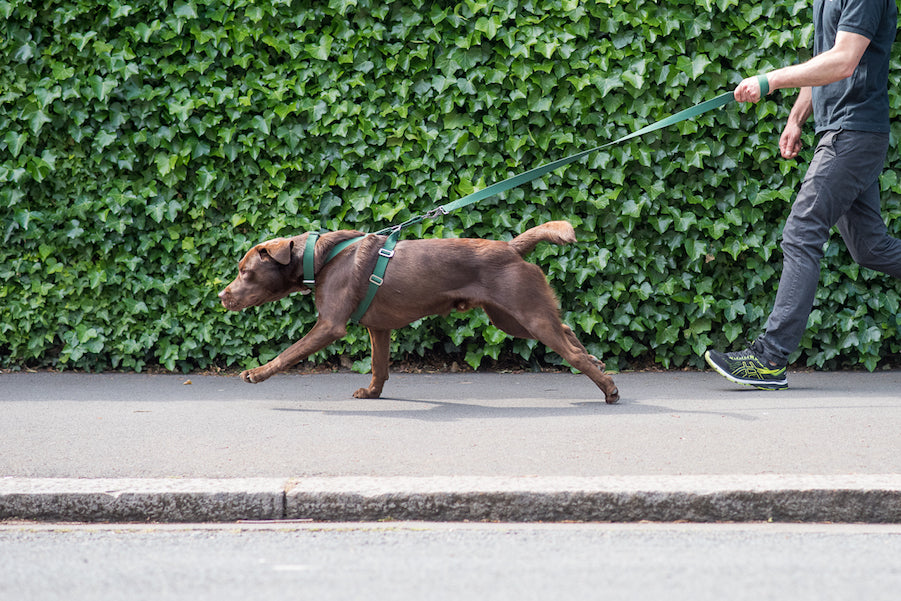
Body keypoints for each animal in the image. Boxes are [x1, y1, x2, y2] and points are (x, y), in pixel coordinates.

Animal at [220, 220, 620, 404]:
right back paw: (597, 362)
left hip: (525, 314)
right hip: (510, 319)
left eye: (245, 272)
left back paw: (608, 388)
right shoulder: (378, 328)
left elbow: (288, 353)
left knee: (568, 350)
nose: (222, 296)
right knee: (567, 329)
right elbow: (379, 367)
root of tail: (512, 247)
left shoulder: (329, 325)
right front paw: (372, 393)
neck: (319, 258)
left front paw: (257, 373)